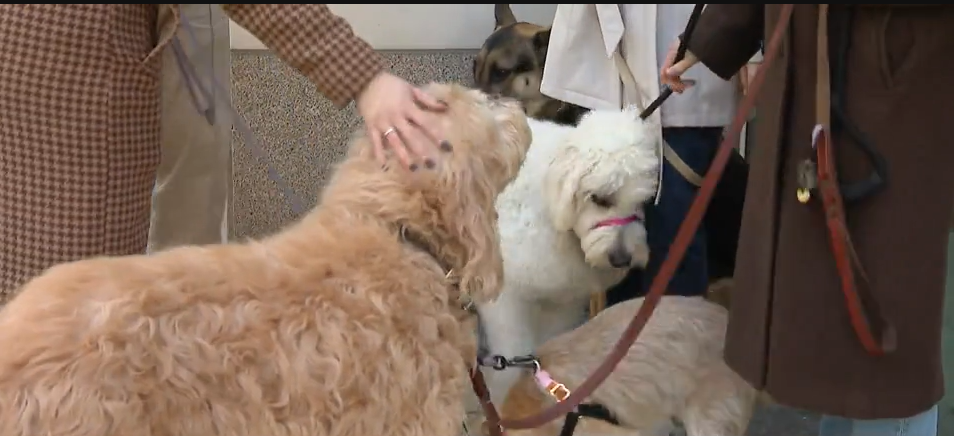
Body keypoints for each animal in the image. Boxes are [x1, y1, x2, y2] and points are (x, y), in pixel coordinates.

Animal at [480, 108, 660, 406]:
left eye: (643, 202)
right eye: (599, 198)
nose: (622, 259)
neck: (549, 203)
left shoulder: (562, 301)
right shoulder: (507, 300)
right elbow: (512, 355)